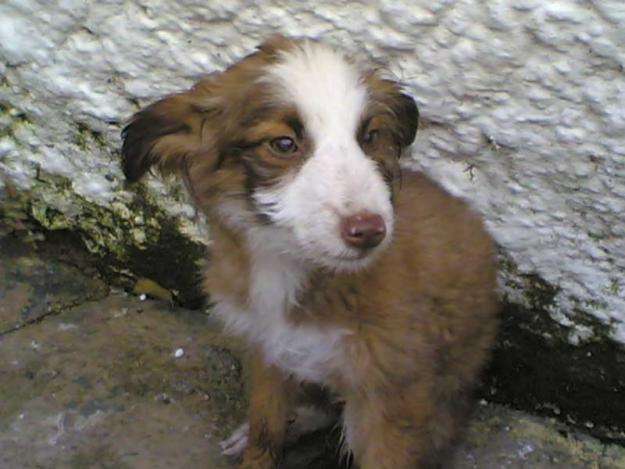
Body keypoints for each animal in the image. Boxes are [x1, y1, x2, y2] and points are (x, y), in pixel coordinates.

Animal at [123, 36, 498, 468]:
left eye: (370, 136)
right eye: (283, 144)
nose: (370, 232)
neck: (286, 263)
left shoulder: (393, 393)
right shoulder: (267, 349)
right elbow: (264, 430)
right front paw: (257, 446)